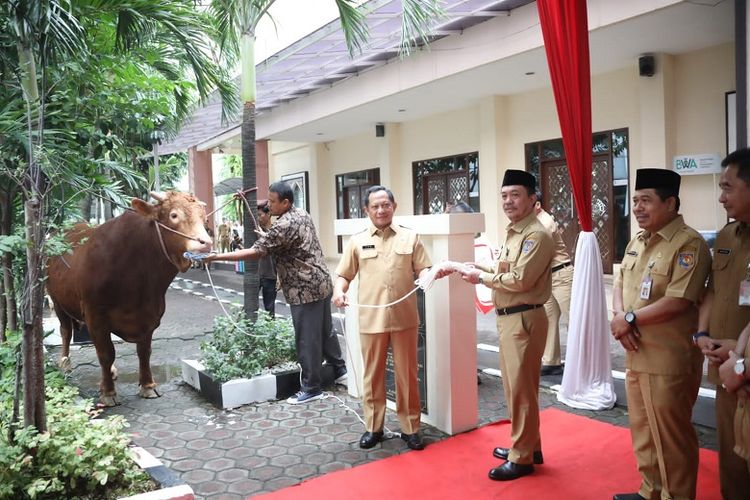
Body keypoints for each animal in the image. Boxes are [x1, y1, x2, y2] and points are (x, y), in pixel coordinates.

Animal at [47, 191, 213, 406]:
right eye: (174, 215)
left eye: (204, 218)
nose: (205, 243)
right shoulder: (95, 316)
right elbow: (106, 353)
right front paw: (108, 393)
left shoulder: (150, 314)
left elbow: (144, 352)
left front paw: (147, 386)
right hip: (57, 301)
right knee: (66, 331)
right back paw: (65, 363)